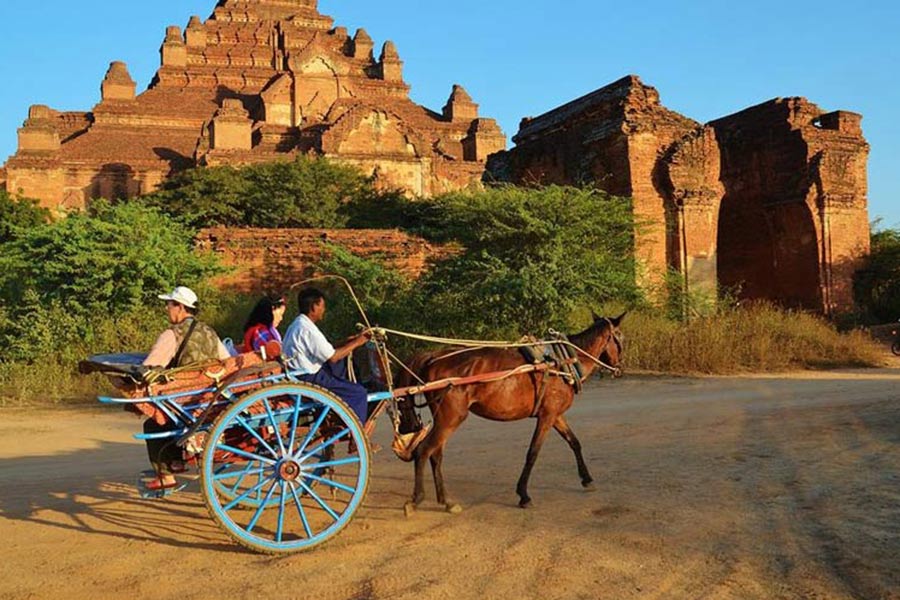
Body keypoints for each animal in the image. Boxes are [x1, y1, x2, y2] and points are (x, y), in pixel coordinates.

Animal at [398, 312, 624, 512]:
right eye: (621, 338)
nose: (620, 368)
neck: (562, 363)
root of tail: (434, 357)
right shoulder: (547, 417)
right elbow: (533, 453)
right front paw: (524, 495)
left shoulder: (555, 415)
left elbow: (574, 442)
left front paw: (587, 479)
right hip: (451, 417)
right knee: (424, 450)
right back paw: (417, 499)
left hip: (444, 418)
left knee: (435, 454)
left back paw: (446, 501)